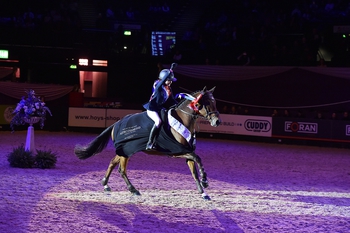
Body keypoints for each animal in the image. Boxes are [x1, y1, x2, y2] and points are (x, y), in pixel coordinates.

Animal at [74, 86, 221, 199]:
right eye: (207, 102)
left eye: (214, 102)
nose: (217, 121)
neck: (183, 120)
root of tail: (116, 123)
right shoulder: (177, 151)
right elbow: (198, 158)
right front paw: (205, 181)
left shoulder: (187, 151)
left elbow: (194, 171)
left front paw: (203, 192)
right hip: (126, 150)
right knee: (122, 170)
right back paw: (133, 190)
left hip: (123, 151)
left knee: (112, 162)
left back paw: (105, 184)